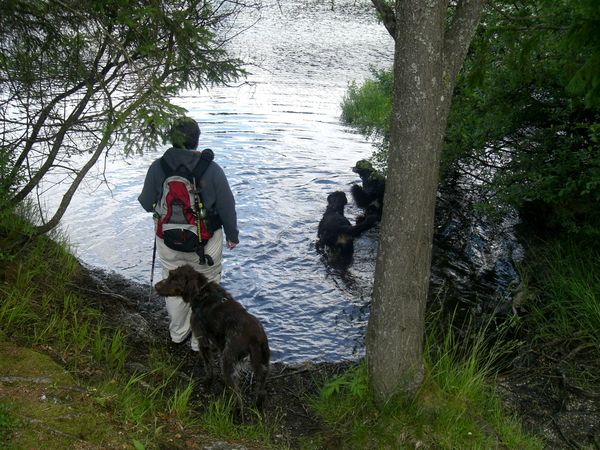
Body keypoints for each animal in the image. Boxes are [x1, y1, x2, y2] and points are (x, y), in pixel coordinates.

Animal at [155, 264, 270, 408]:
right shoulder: (219, 342)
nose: (155, 286)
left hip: (228, 362)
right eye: (170, 275)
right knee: (261, 391)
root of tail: (255, 338)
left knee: (238, 397)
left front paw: (207, 380)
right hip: (262, 365)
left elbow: (208, 366)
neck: (201, 292)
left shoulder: (202, 339)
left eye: (174, 278)